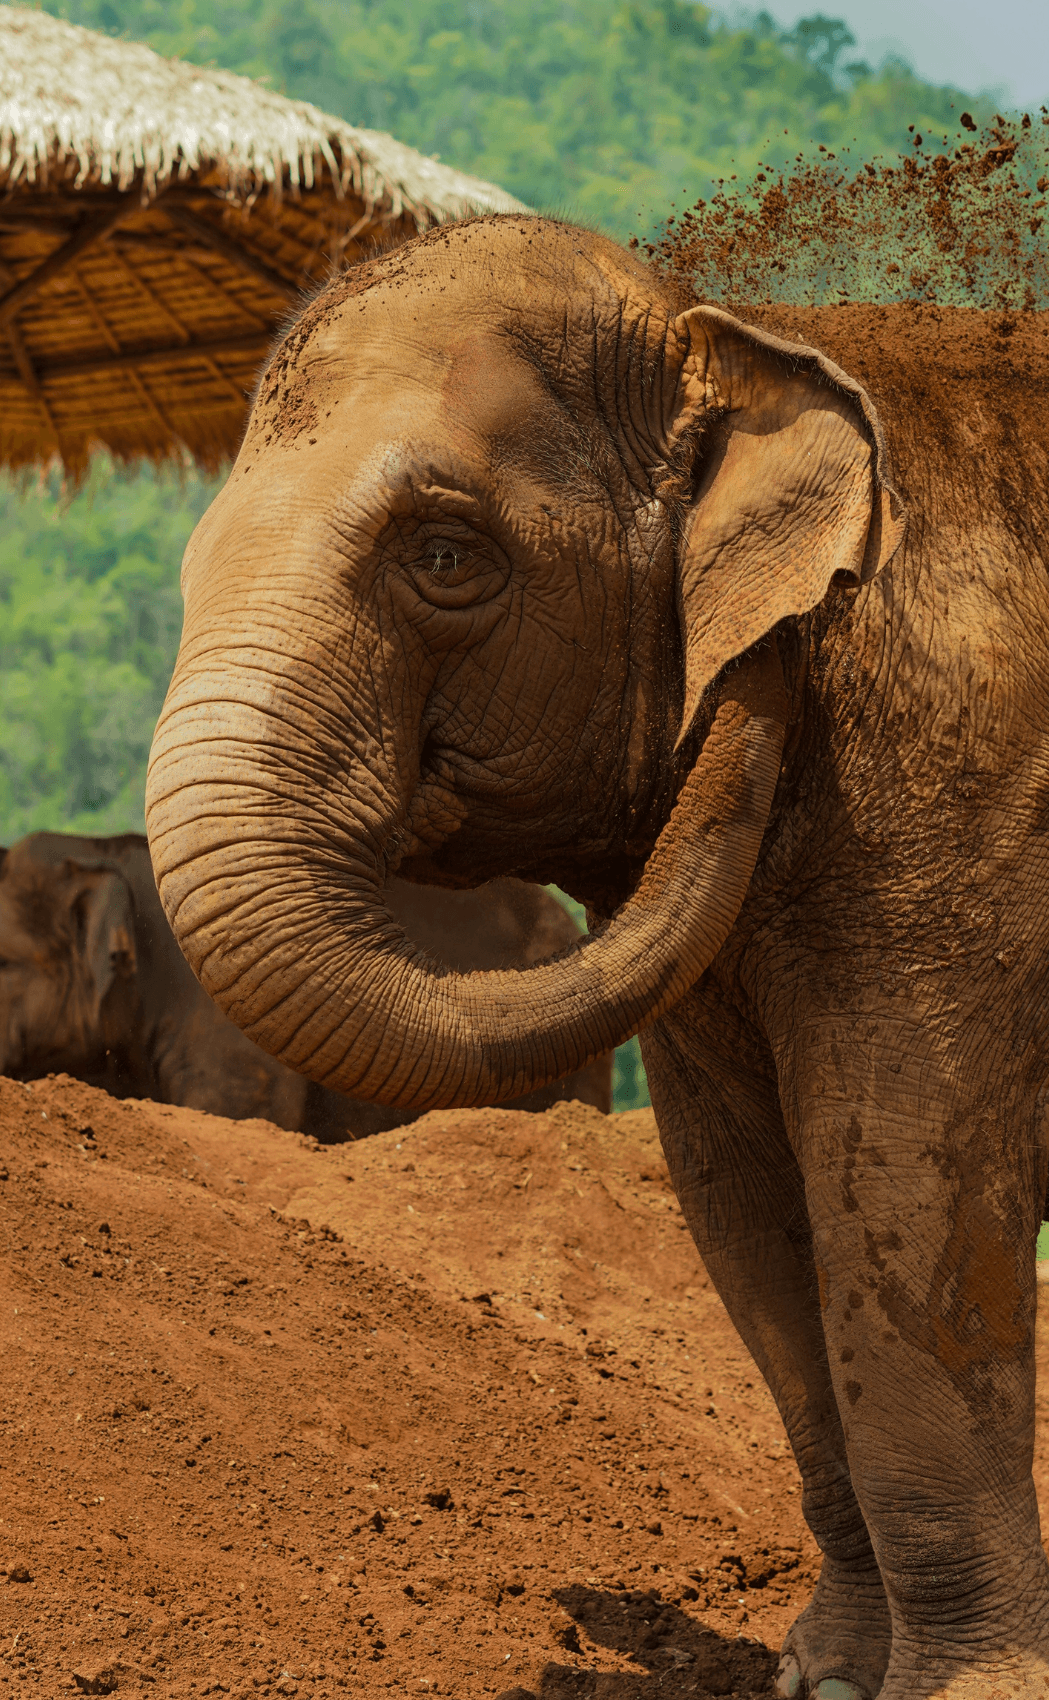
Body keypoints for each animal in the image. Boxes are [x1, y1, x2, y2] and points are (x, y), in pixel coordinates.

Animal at [145, 212, 1049, 1698]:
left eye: (445, 556)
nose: (752, 674)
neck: (740, 335)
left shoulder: (956, 801)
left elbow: (902, 1184)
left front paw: (969, 1693)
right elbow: (745, 1205)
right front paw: (823, 1675)